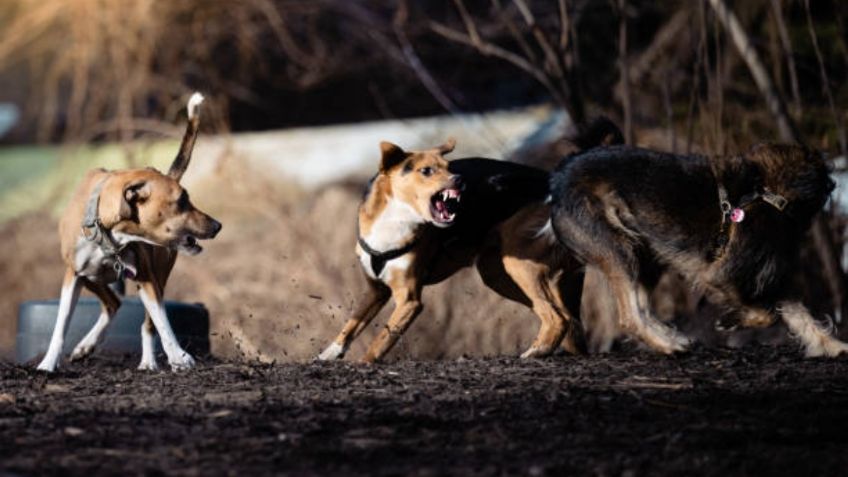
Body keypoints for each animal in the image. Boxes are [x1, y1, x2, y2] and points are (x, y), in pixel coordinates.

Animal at [36, 92, 222, 372]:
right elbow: (60, 324)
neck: (108, 232)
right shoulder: (73, 274)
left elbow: (162, 322)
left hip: (157, 276)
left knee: (145, 322)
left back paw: (147, 361)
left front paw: (178, 356)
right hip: (91, 278)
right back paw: (86, 345)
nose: (217, 225)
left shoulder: (147, 278)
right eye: (181, 201)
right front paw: (48, 363)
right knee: (113, 304)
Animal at [314, 139, 588, 362]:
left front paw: (365, 363)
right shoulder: (376, 290)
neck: (395, 220)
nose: (460, 180)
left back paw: (537, 351)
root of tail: (552, 183)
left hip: (519, 264)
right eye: (426, 170)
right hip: (497, 274)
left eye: (449, 167)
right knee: (564, 317)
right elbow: (353, 323)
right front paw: (330, 353)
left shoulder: (409, 299)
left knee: (558, 317)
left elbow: (384, 337)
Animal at [548, 139, 848, 356]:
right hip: (620, 250)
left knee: (642, 308)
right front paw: (730, 321)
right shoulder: (725, 276)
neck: (769, 192)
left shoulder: (768, 278)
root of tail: (557, 182)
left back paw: (671, 337)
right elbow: (767, 314)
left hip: (646, 255)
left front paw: (832, 346)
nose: (834, 182)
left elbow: (799, 314)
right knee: (630, 317)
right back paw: (669, 345)